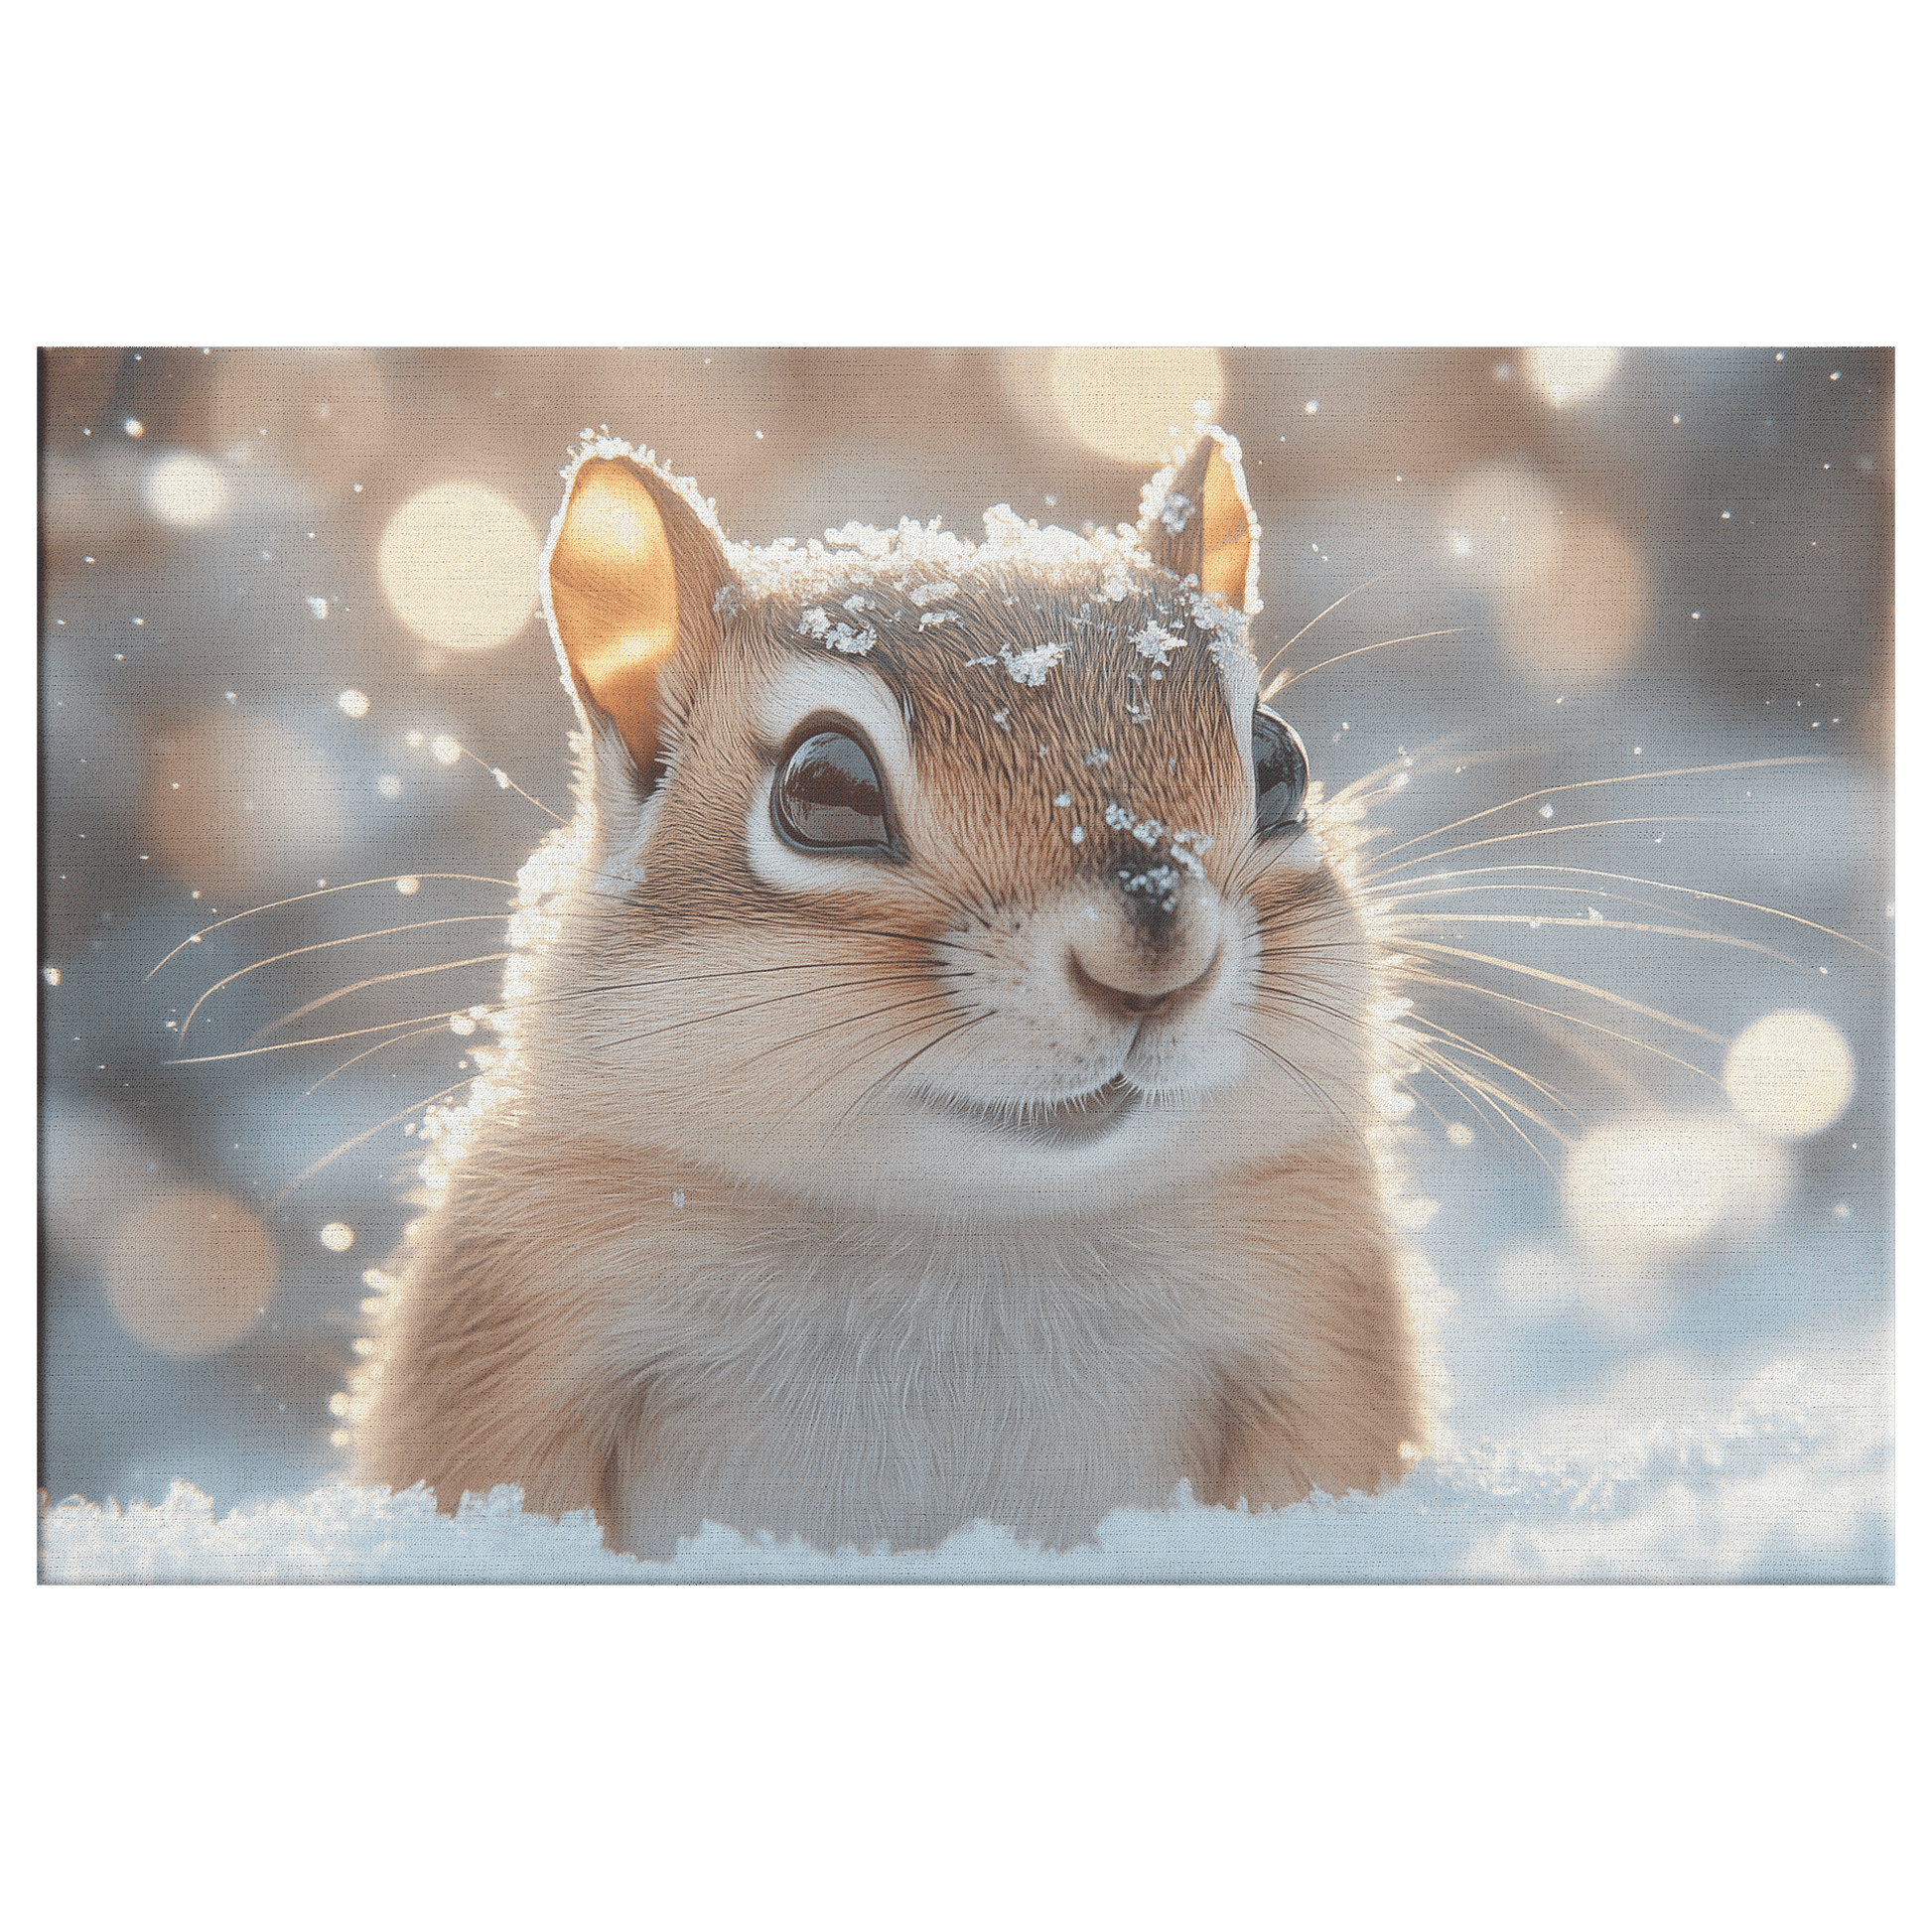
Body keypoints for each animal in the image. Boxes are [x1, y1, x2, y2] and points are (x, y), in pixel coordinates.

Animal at [351, 425, 1430, 1557]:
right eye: (825, 788)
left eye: (1278, 760)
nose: (1154, 961)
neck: (969, 1231)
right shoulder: (519, 1317)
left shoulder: (1319, 1326)